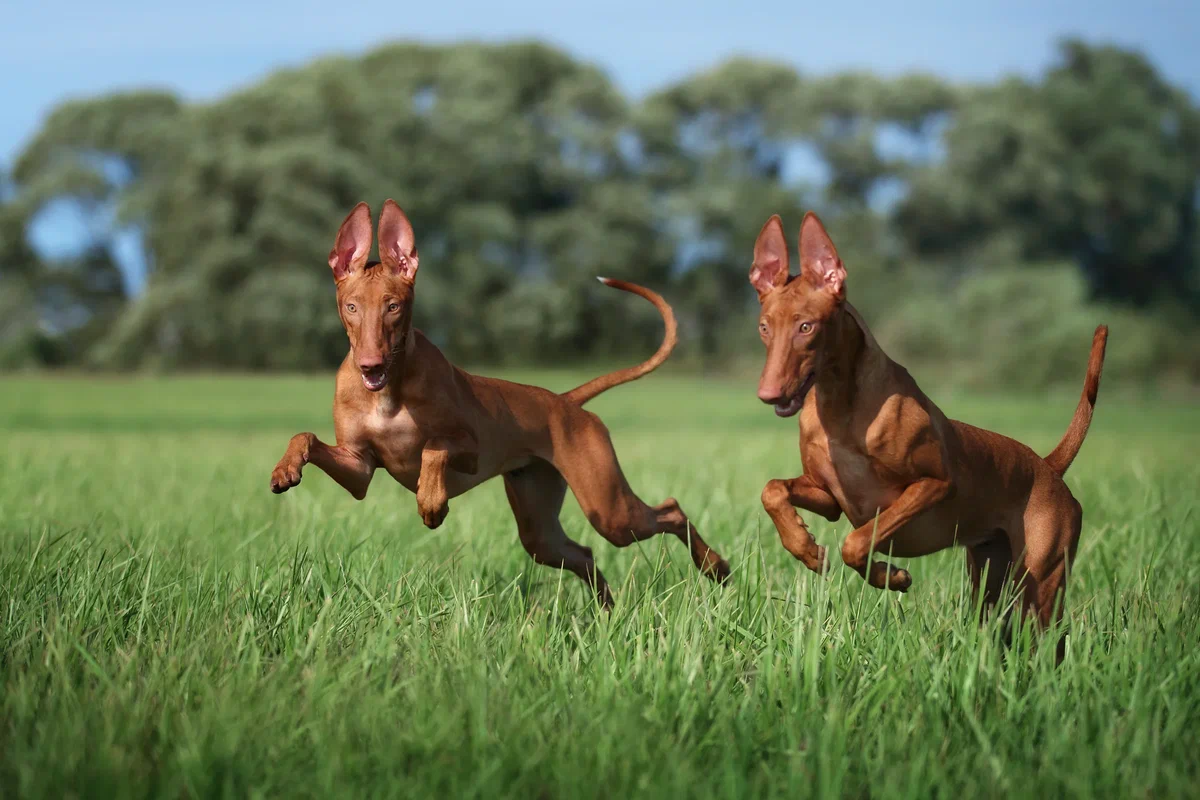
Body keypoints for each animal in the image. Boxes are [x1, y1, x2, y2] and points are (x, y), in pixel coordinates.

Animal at [272, 200, 729, 606]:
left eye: (393, 307)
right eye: (351, 307)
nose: (371, 364)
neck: (389, 391)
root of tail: (565, 401)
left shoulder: (470, 449)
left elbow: (433, 447)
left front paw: (432, 502)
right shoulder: (360, 469)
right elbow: (305, 437)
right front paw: (285, 471)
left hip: (609, 509)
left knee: (670, 510)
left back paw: (715, 567)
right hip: (540, 527)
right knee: (584, 554)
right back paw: (607, 614)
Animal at [748, 211, 1104, 652]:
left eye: (807, 327)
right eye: (764, 327)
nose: (768, 394)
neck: (840, 407)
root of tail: (1048, 467)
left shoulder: (933, 485)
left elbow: (856, 542)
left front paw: (890, 575)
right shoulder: (828, 496)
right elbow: (773, 490)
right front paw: (808, 550)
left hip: (1041, 582)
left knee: (1047, 639)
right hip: (990, 578)